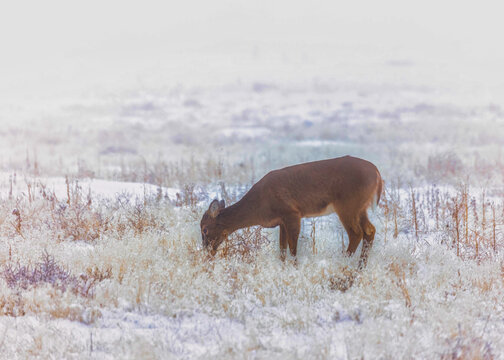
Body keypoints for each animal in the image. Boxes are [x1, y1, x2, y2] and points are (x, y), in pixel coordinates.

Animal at [200, 156, 382, 268]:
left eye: (204, 229)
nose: (206, 251)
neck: (260, 206)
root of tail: (377, 173)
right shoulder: (281, 221)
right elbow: (282, 250)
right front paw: (283, 269)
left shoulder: (292, 213)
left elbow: (293, 249)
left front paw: (294, 269)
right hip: (360, 207)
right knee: (369, 230)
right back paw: (360, 267)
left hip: (347, 204)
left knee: (356, 233)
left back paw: (342, 264)